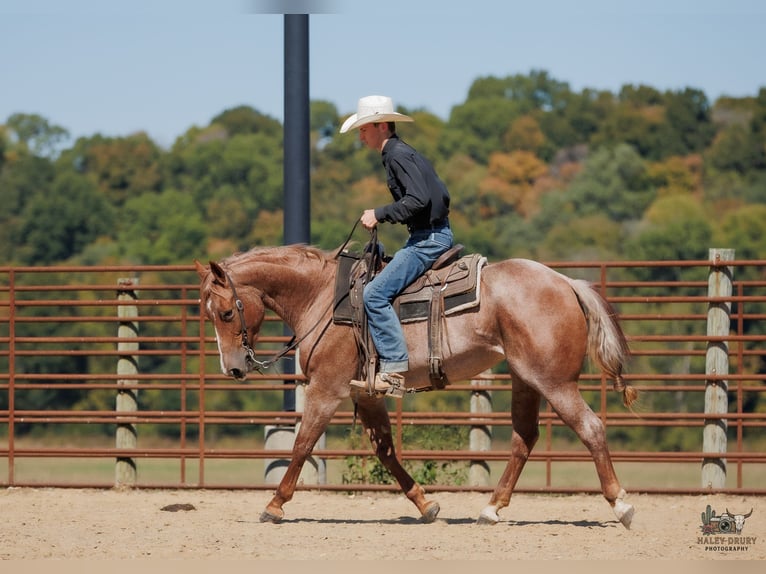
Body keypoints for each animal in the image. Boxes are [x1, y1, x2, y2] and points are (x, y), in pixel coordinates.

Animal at [195, 243, 638, 528]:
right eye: (210, 315)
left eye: (225, 312)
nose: (233, 369)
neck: (323, 298)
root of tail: (565, 282)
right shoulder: (364, 394)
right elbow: (386, 451)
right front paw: (426, 504)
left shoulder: (326, 389)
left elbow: (302, 445)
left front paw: (274, 504)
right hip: (525, 380)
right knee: (523, 438)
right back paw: (491, 509)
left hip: (554, 382)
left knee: (590, 428)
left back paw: (621, 506)